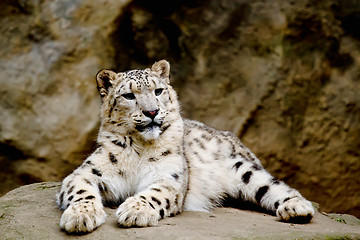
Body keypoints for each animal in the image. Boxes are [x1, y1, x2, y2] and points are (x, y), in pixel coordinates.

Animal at [54, 59, 314, 232]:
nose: (152, 112)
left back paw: (297, 209)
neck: (139, 148)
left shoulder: (171, 176)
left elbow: (155, 193)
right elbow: (81, 190)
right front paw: (80, 216)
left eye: (158, 91)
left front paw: (135, 210)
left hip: (243, 169)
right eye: (129, 96)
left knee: (273, 185)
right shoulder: (86, 172)